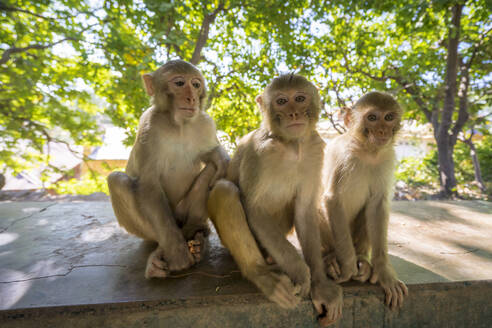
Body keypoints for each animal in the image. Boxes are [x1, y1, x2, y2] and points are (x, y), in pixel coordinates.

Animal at [107, 59, 229, 280]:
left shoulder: (205, 122)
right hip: (152, 229)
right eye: (179, 83)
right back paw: (160, 254)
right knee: (117, 181)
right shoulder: (149, 127)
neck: (178, 125)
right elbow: (149, 185)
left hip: (182, 211)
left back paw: (197, 235)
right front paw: (177, 253)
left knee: (213, 170)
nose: (192, 98)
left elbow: (213, 157)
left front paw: (219, 154)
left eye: (196, 85)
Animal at [320, 91, 408, 310]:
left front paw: (384, 271)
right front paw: (348, 265)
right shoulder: (341, 155)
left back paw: (364, 261)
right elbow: (332, 199)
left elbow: (377, 205)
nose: (383, 130)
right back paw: (330, 259)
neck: (367, 150)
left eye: (388, 117)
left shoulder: (386, 158)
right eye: (372, 117)